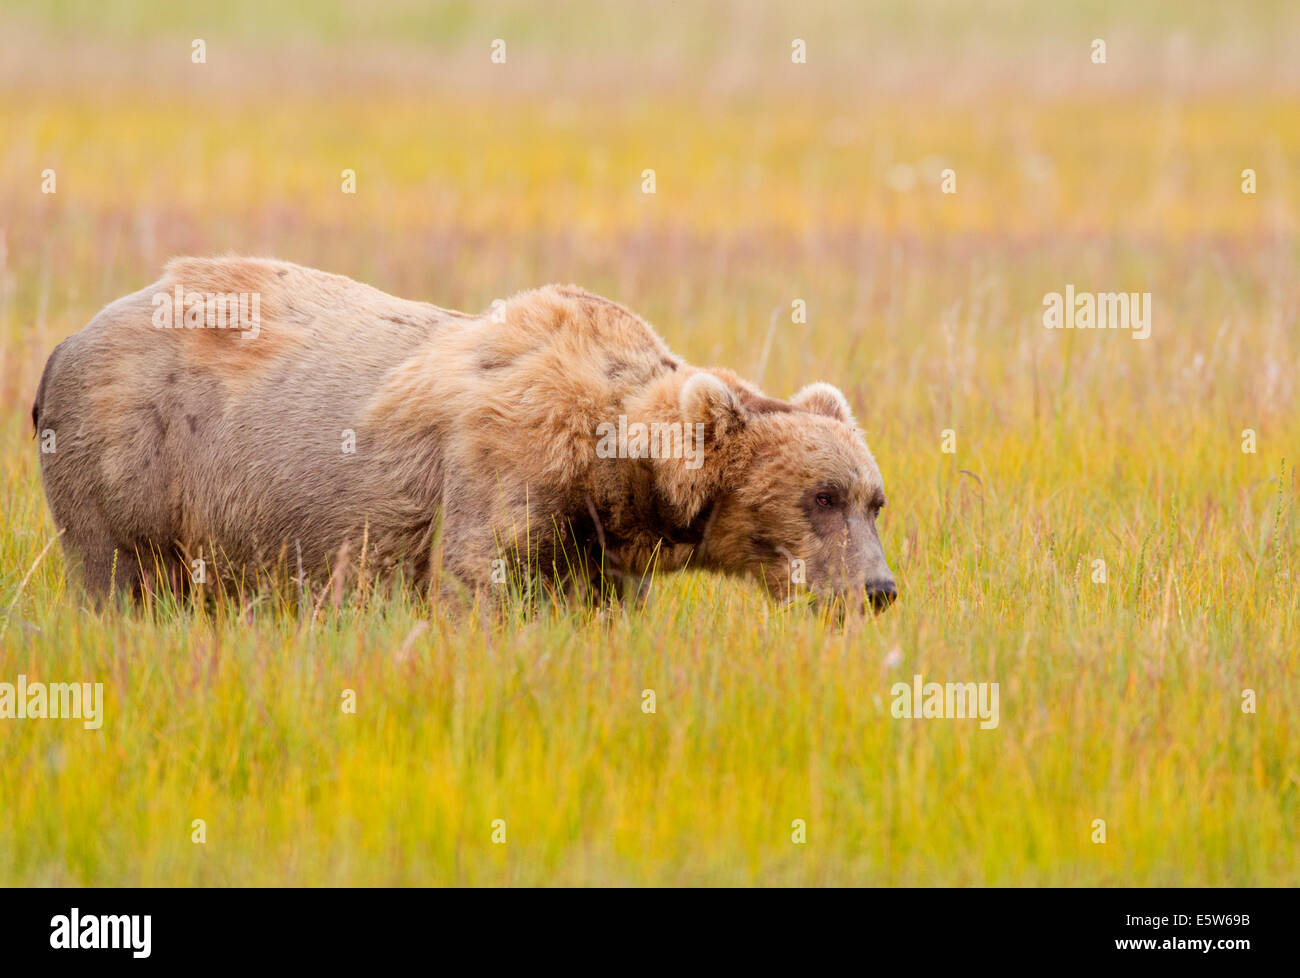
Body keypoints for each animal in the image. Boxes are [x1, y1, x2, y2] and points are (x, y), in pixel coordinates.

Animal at [35, 257, 899, 611]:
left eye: (874, 499)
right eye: (822, 496)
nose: (879, 588)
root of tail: (64, 344)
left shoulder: (598, 544)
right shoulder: (499, 468)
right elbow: (478, 583)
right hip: (136, 458)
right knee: (125, 579)